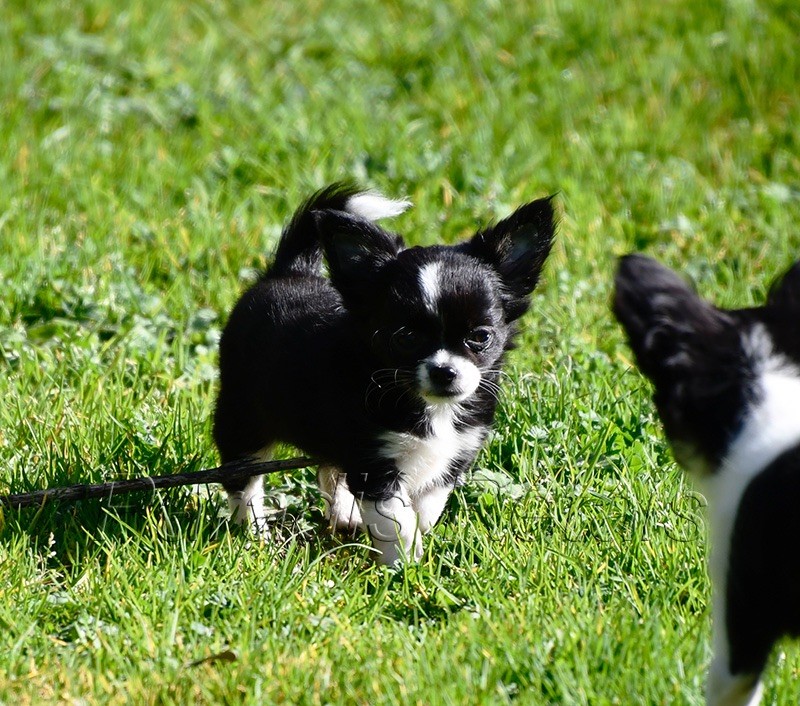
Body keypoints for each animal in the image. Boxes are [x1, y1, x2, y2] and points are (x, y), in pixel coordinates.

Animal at [211, 183, 556, 568]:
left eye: (481, 337)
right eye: (405, 338)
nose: (444, 371)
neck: (430, 408)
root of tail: (288, 272)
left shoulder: (454, 453)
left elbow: (427, 506)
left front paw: (414, 541)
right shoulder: (374, 462)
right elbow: (395, 517)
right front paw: (402, 563)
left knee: (329, 469)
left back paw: (343, 514)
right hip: (243, 419)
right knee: (244, 480)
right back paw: (255, 532)